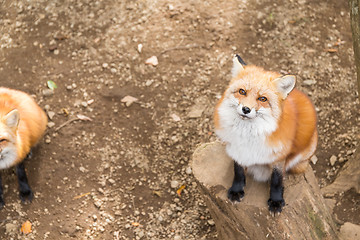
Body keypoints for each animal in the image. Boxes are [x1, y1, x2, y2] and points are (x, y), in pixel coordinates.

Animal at [214, 55, 318, 215]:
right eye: (242, 91)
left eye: (262, 99)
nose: (246, 109)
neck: (247, 135)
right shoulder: (236, 149)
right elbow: (238, 171)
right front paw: (236, 190)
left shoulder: (278, 155)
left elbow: (276, 180)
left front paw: (276, 201)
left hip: (300, 162)